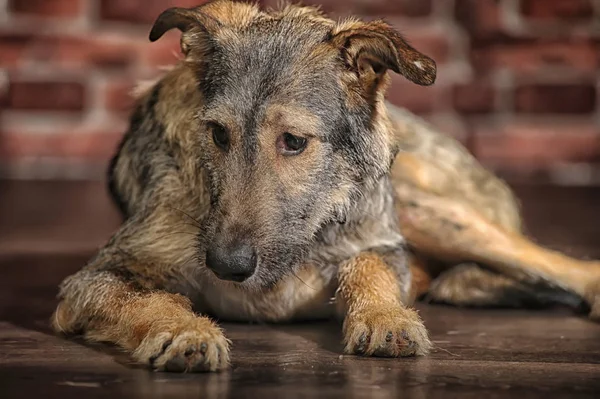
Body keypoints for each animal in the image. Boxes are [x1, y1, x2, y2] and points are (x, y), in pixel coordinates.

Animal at [50, 1, 600, 374]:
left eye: (293, 141)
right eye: (217, 134)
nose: (226, 265)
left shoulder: (383, 242)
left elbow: (368, 266)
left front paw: (385, 317)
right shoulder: (96, 277)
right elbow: (139, 298)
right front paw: (183, 331)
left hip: (428, 212)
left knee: (565, 266)